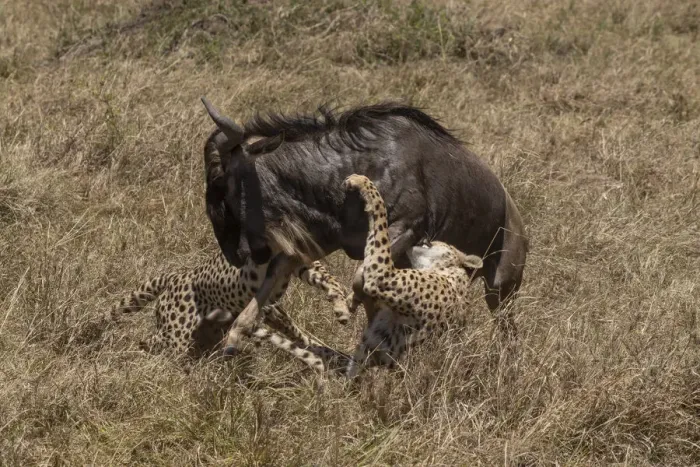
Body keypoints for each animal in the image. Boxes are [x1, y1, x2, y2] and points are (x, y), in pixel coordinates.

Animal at [341, 174, 484, 379]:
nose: (425, 237)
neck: (447, 271)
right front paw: (351, 299)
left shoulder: (383, 277)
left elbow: (380, 217)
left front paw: (361, 181)